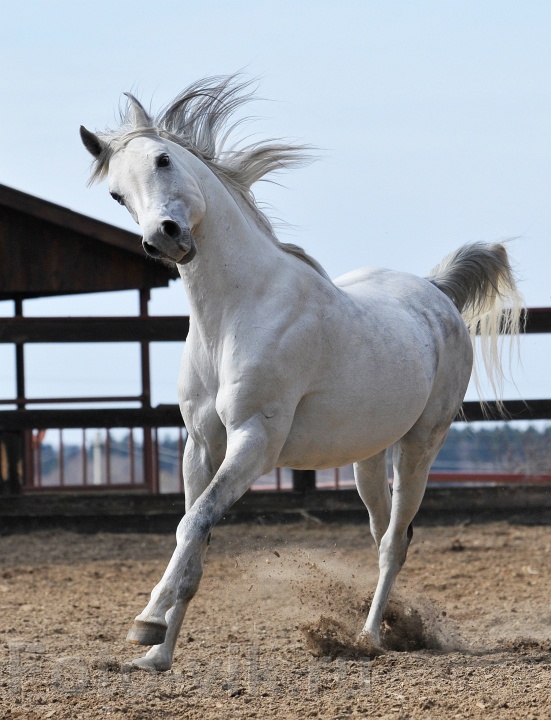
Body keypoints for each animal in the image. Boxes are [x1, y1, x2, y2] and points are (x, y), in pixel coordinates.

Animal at [80, 76, 524, 672]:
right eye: (116, 194)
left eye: (163, 158)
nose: (165, 237)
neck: (236, 312)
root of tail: (436, 292)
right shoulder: (201, 445)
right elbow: (193, 538)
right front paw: (157, 654)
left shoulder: (255, 441)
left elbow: (192, 523)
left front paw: (146, 622)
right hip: (366, 457)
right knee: (382, 532)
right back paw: (389, 625)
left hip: (421, 446)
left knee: (395, 541)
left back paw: (369, 637)